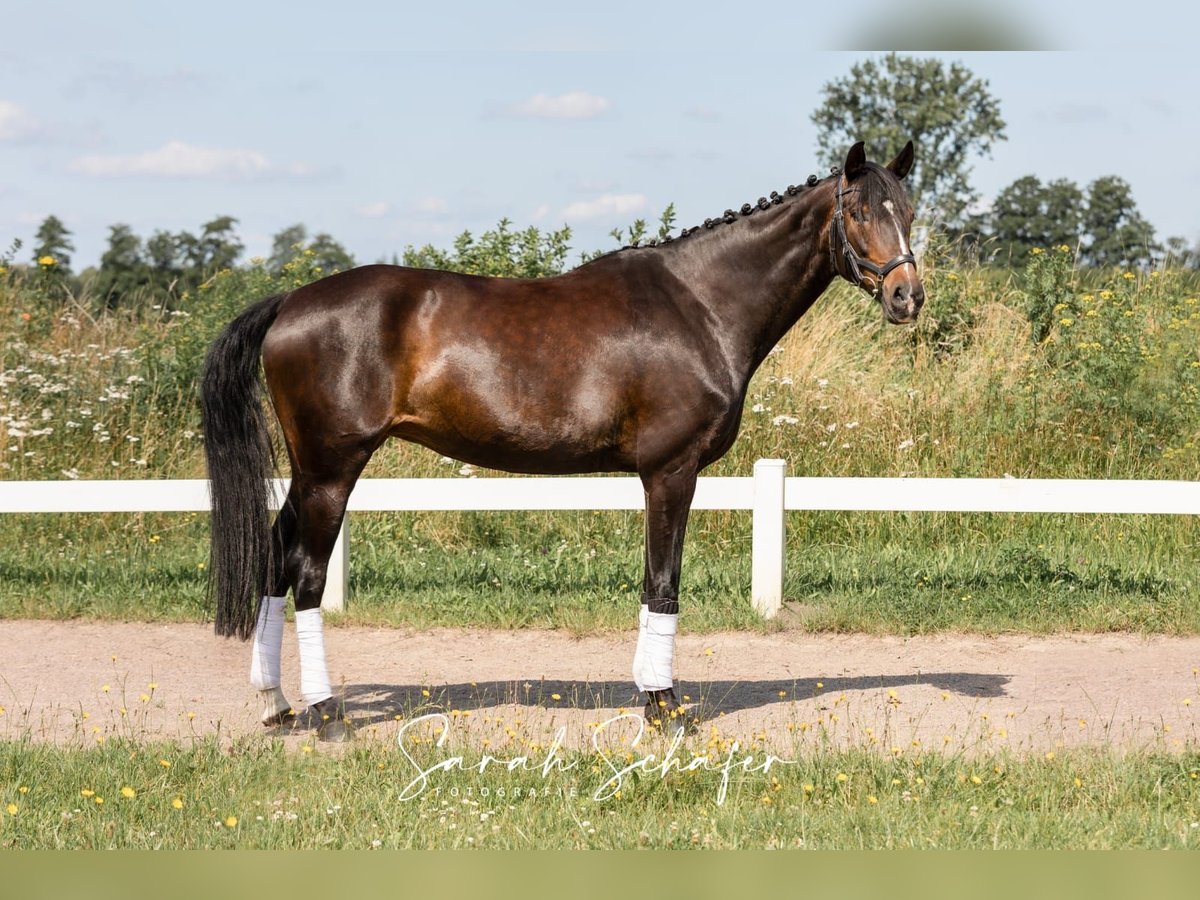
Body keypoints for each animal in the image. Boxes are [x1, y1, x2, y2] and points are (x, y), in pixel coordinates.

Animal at [201, 141, 921, 739]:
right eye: (859, 210)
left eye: (910, 211)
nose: (907, 296)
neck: (700, 306)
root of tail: (290, 302)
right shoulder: (672, 470)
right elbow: (664, 583)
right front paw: (665, 708)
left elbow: (653, 585)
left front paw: (653, 697)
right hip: (331, 470)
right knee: (307, 576)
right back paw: (325, 714)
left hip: (307, 473)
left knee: (274, 558)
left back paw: (276, 704)